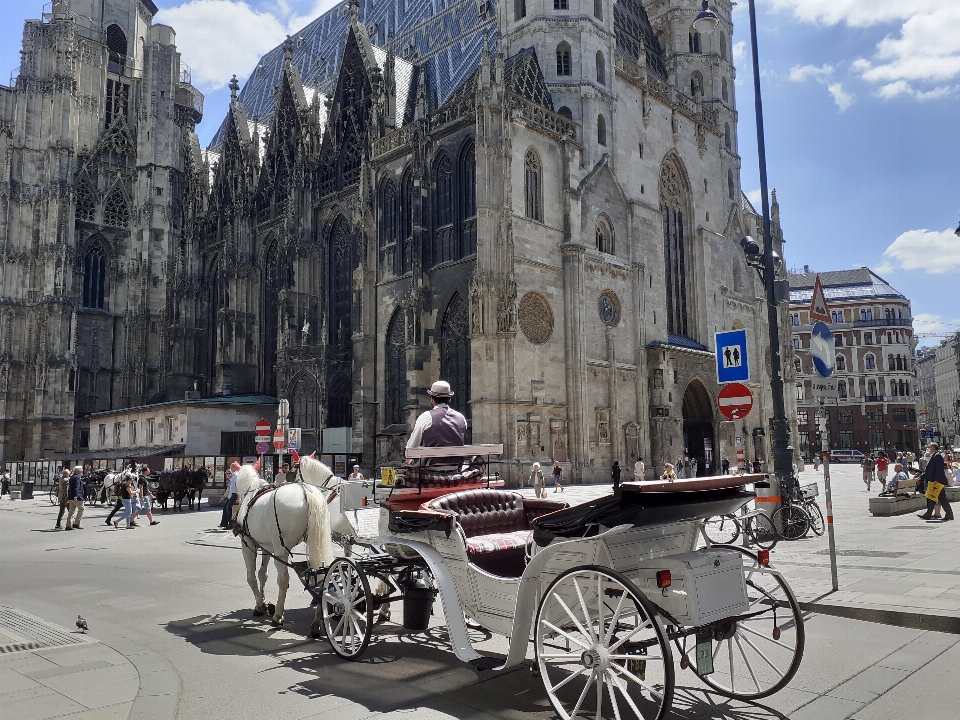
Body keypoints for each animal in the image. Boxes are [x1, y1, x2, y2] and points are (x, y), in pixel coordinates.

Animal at [236, 462, 334, 624]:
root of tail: (307, 492)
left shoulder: (247, 543)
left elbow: (251, 577)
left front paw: (259, 604)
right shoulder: (267, 547)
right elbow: (262, 573)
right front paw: (264, 602)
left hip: (280, 550)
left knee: (283, 580)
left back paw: (278, 615)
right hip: (315, 543)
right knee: (321, 576)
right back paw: (318, 618)